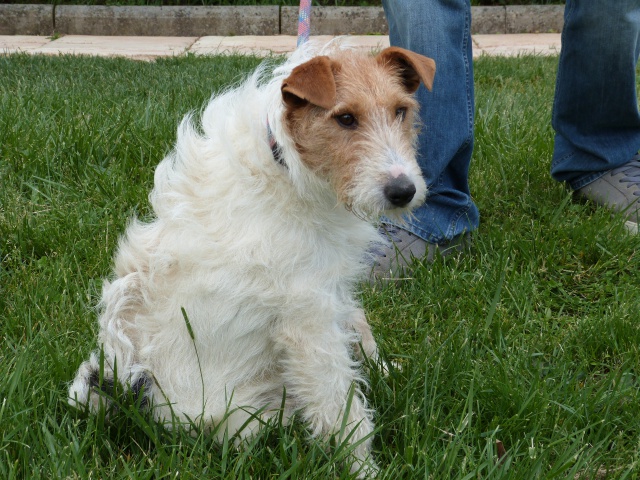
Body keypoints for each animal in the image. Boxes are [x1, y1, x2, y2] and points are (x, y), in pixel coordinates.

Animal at [70, 41, 436, 476]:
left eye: (401, 110)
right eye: (345, 118)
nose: (403, 191)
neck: (287, 166)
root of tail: (139, 399)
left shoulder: (332, 287)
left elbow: (360, 326)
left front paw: (383, 371)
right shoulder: (307, 319)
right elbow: (340, 405)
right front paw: (363, 468)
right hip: (247, 415)